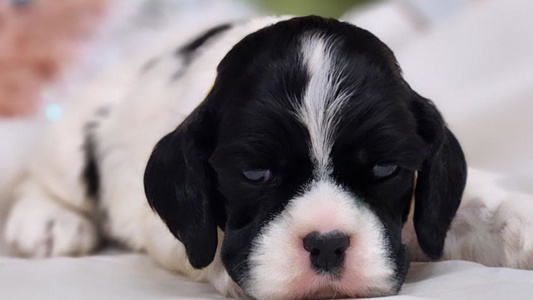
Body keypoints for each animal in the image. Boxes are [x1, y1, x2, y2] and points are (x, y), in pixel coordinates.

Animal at [5, 16, 532, 300]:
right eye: (255, 173)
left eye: (385, 169)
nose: (327, 244)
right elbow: (203, 243)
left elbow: (477, 209)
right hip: (76, 137)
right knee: (46, 176)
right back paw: (48, 221)